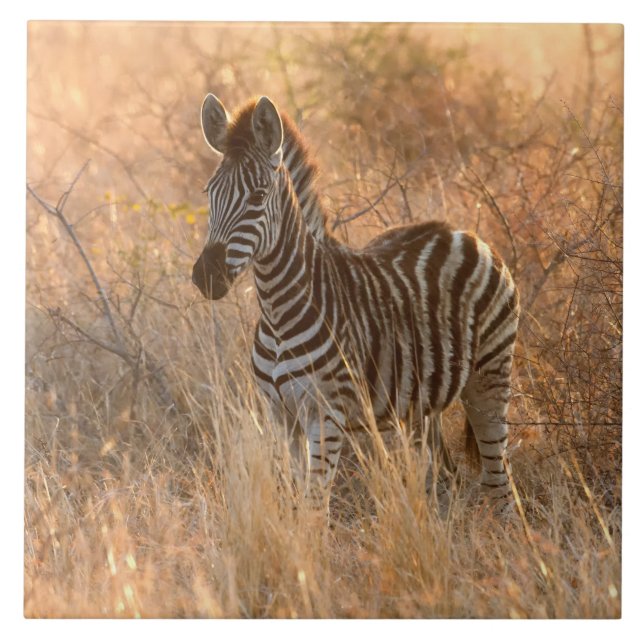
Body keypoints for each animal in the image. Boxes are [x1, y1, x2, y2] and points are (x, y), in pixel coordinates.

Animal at [192, 94, 520, 515]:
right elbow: (296, 503)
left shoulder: (326, 418)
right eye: (208, 193)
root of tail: (465, 233)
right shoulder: (281, 417)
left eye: (257, 197)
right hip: (420, 404)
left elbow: (314, 510)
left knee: (500, 483)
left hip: (490, 376)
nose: (206, 276)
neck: (278, 313)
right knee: (441, 478)